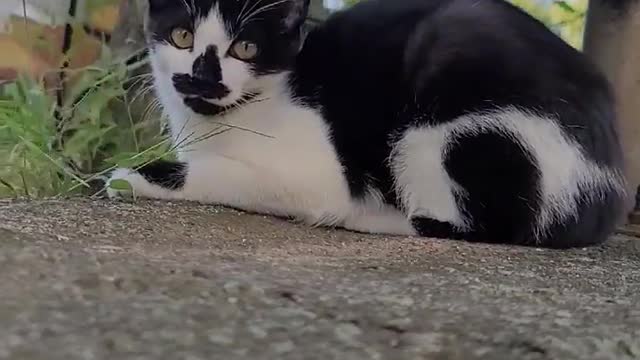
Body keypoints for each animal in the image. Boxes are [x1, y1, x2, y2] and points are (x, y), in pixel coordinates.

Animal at [107, 0, 628, 248]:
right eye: (182, 36)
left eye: (246, 48)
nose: (202, 77)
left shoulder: (314, 171)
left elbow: (225, 174)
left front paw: (132, 178)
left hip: (445, 131)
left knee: (478, 223)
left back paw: (365, 216)